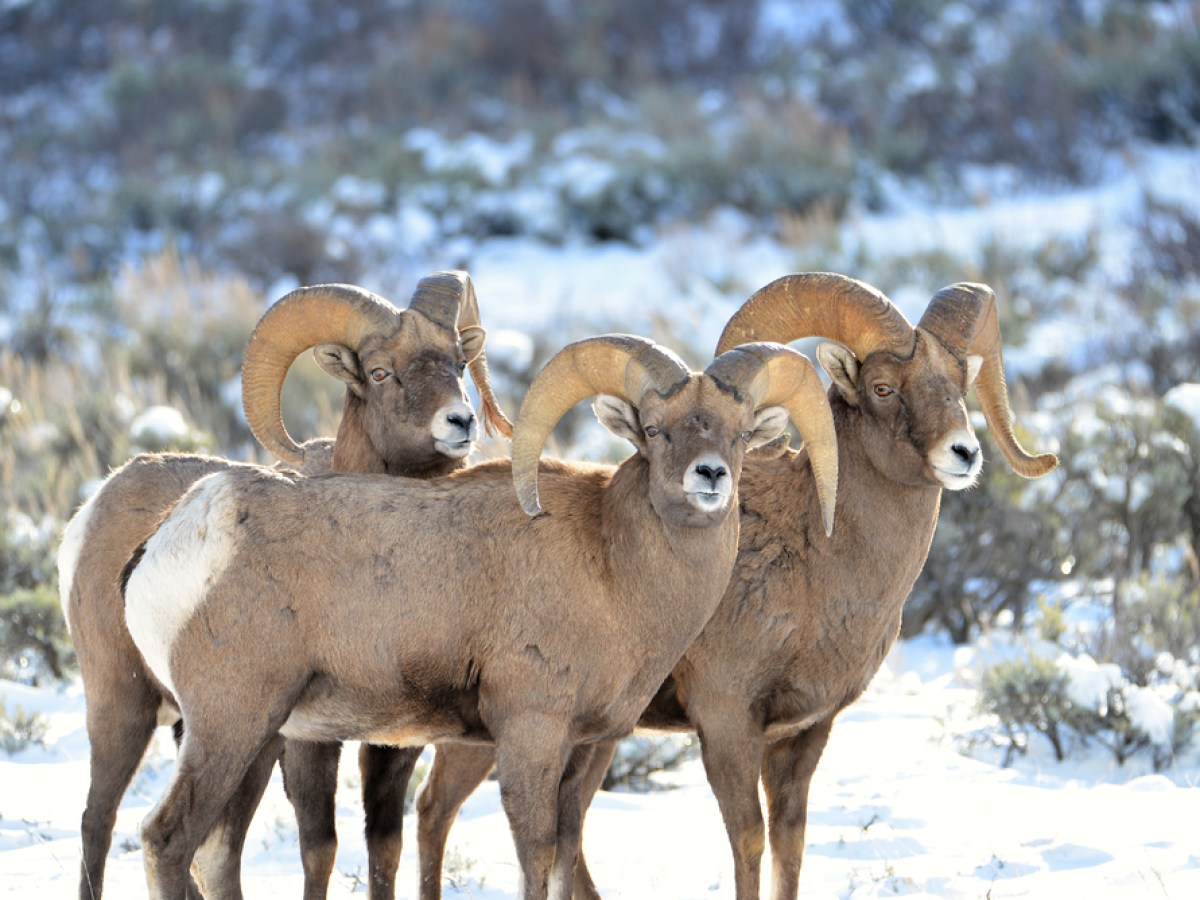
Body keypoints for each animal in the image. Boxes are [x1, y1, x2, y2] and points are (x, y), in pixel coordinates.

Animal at [57, 271, 509, 900]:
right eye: (380, 372)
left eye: (458, 363)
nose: (460, 423)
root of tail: (100, 501)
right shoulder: (307, 741)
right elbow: (319, 848)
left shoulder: (396, 739)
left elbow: (384, 846)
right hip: (130, 707)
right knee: (100, 822)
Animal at [119, 332, 840, 900]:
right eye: (657, 430)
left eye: (740, 434)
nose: (710, 476)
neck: (614, 569)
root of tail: (182, 532)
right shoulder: (530, 735)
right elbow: (535, 859)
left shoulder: (587, 748)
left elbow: (563, 859)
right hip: (232, 724)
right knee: (166, 840)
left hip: (257, 738)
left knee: (213, 853)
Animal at [412, 272, 1060, 900]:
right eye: (882, 387)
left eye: (959, 383)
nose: (964, 453)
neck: (818, 564)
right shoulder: (726, 720)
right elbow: (748, 840)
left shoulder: (806, 732)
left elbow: (789, 845)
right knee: (436, 811)